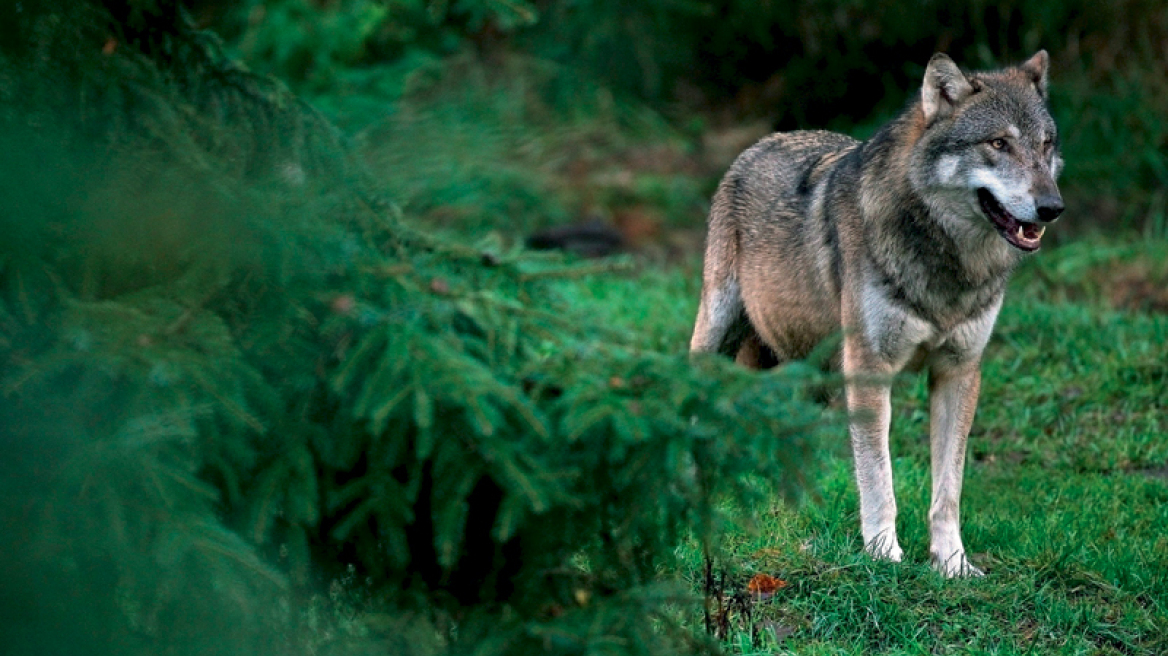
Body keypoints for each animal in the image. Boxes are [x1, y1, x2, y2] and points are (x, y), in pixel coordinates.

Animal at [686, 49, 1065, 571]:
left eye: (1046, 145)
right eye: (998, 143)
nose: (1053, 207)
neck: (947, 266)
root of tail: (764, 141)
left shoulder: (959, 371)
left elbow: (948, 489)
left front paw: (952, 563)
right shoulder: (869, 369)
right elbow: (878, 477)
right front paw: (883, 554)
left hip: (808, 375)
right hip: (720, 337)